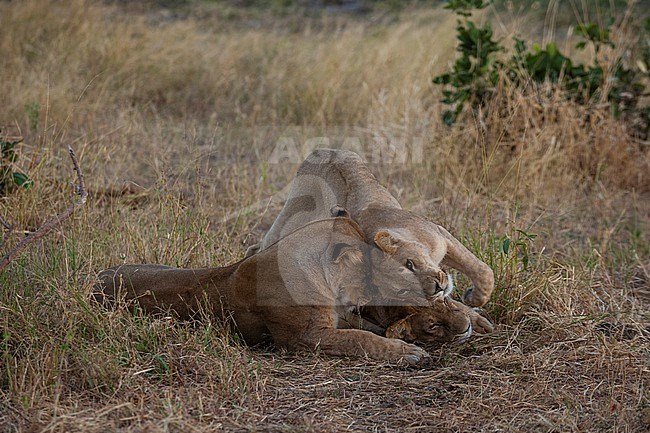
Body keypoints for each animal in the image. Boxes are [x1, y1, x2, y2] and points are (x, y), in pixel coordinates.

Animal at [93, 218, 430, 362]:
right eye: (371, 274)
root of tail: (94, 281)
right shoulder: (306, 338)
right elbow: (360, 339)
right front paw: (409, 352)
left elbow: (365, 330)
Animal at [246, 148, 494, 308]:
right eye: (404, 291)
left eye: (410, 264)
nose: (436, 288)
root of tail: (322, 150)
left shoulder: (441, 234)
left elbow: (482, 270)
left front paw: (475, 298)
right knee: (259, 246)